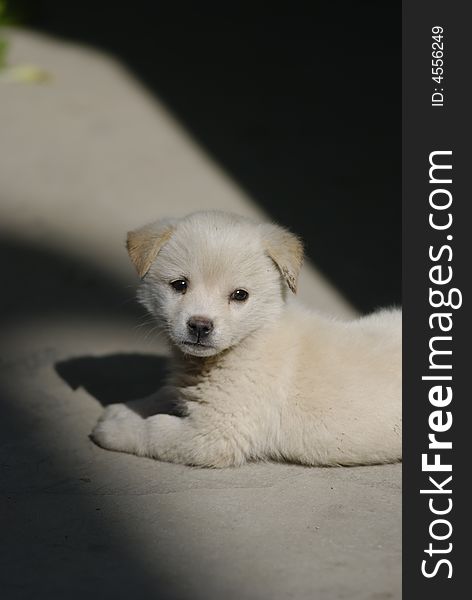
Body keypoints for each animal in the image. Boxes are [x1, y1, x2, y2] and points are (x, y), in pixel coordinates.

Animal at [92, 211, 402, 468]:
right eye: (179, 285)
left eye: (240, 295)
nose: (200, 326)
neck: (253, 336)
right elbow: (165, 394)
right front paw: (124, 410)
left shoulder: (215, 433)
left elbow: (156, 429)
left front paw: (115, 430)